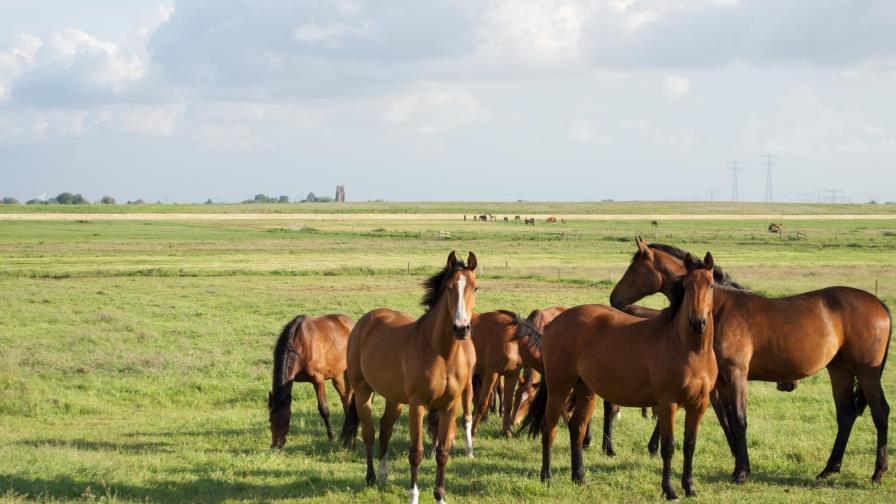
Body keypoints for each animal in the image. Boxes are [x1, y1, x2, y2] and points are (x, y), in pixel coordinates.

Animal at [268, 314, 354, 448]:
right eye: (270, 419)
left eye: (287, 420)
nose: (276, 445)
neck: (300, 345)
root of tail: (350, 322)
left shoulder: (318, 380)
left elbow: (324, 409)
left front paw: (331, 437)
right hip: (336, 375)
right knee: (345, 399)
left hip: (347, 371)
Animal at [340, 251, 478, 504]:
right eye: (449, 288)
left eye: (474, 287)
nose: (461, 328)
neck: (442, 353)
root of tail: (365, 322)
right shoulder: (418, 404)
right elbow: (416, 453)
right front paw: (413, 496)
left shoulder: (450, 406)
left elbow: (443, 452)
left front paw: (440, 496)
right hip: (364, 392)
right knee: (369, 433)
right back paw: (371, 477)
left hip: (395, 399)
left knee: (385, 429)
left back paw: (383, 475)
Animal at [521, 253, 719, 500]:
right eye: (687, 286)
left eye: (711, 285)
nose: (697, 323)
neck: (689, 349)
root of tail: (554, 323)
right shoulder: (668, 403)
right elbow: (669, 446)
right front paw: (670, 490)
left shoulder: (699, 404)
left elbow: (690, 445)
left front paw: (690, 487)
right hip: (560, 387)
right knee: (549, 428)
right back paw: (547, 477)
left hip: (585, 390)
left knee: (577, 428)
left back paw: (579, 477)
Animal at [610, 238, 892, 484]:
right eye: (687, 286)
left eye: (633, 267)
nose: (614, 299)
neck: (720, 310)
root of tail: (879, 304)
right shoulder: (721, 381)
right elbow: (728, 420)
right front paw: (739, 463)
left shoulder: (736, 374)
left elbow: (739, 419)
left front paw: (742, 472)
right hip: (840, 369)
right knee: (845, 414)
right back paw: (829, 469)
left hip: (866, 372)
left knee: (880, 412)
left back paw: (878, 472)